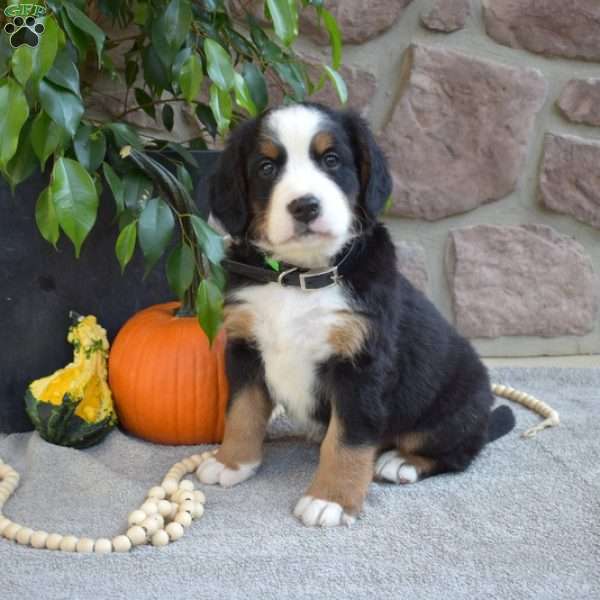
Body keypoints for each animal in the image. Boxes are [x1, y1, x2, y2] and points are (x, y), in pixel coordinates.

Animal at [198, 105, 516, 528]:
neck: (299, 279)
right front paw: (232, 463)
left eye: (331, 160)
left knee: (458, 452)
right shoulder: (245, 347)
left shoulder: (361, 364)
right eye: (266, 167)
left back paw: (401, 462)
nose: (305, 206)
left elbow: (348, 439)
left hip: (454, 407)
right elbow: (241, 412)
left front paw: (330, 499)